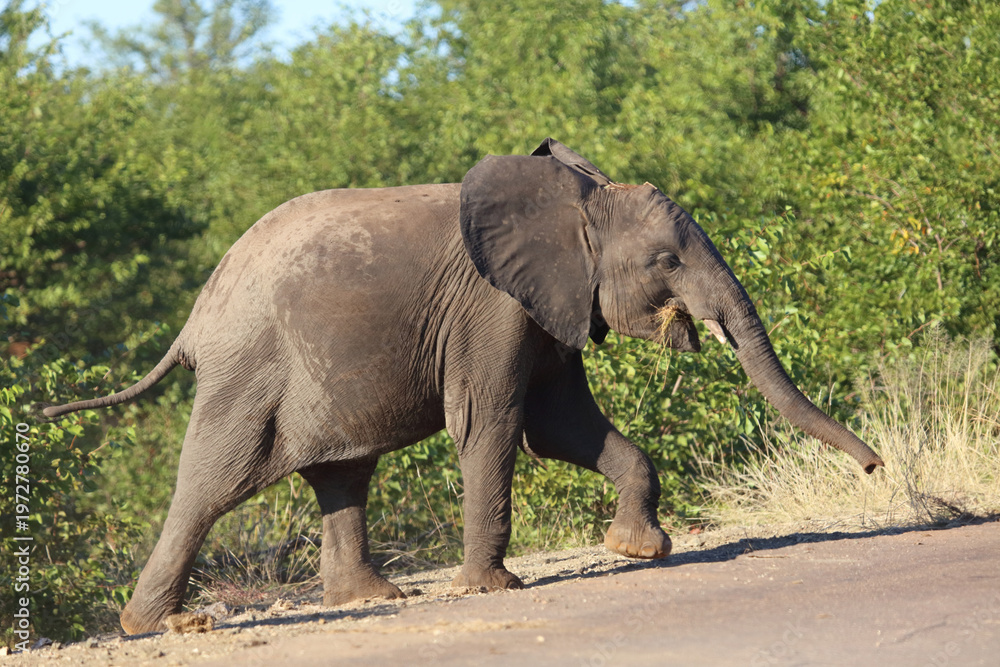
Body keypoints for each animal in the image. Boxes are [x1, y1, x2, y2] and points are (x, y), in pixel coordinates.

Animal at [43, 139, 883, 635]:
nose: (878, 467)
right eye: (666, 261)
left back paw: (372, 601)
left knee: (343, 471)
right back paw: (154, 626)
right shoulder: (494, 305)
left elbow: (562, 425)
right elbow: (494, 421)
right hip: (250, 366)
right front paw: (494, 587)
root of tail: (194, 317)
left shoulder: (547, 304)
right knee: (213, 480)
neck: (577, 201)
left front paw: (638, 548)